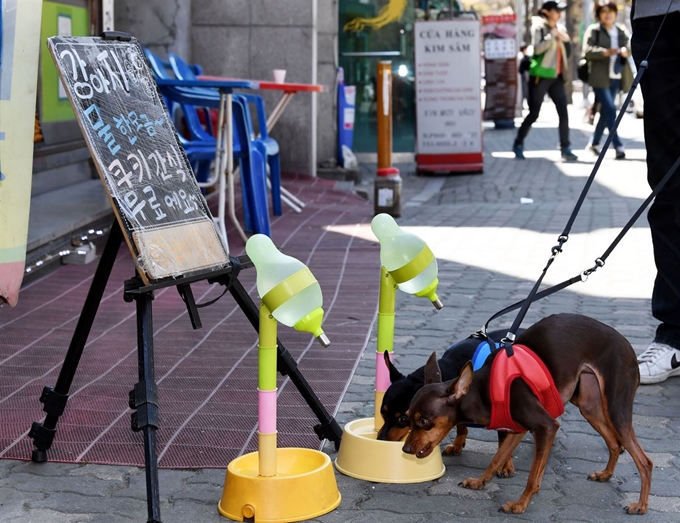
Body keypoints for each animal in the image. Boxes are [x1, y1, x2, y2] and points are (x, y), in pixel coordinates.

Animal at [402, 316, 652, 516]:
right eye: (407, 417)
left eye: (424, 421)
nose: (405, 449)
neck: (484, 389)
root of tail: (628, 346)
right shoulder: (518, 429)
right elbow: (497, 458)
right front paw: (480, 481)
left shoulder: (547, 426)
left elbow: (531, 477)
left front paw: (520, 504)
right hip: (589, 405)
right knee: (614, 443)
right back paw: (606, 474)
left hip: (615, 409)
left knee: (644, 461)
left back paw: (640, 505)